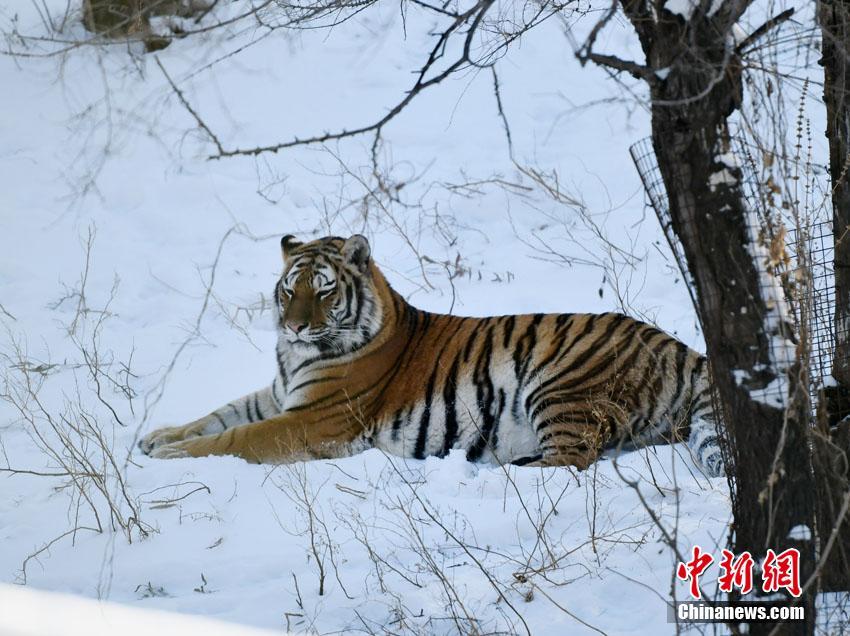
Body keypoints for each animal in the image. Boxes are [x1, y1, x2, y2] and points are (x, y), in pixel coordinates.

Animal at [139, 234, 724, 476]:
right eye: (288, 289)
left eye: (323, 290)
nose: (293, 326)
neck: (297, 357)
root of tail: (676, 345)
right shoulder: (280, 395)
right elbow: (218, 415)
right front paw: (157, 436)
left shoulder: (312, 420)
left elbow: (233, 438)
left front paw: (169, 456)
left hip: (560, 384)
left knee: (573, 461)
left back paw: (501, 471)